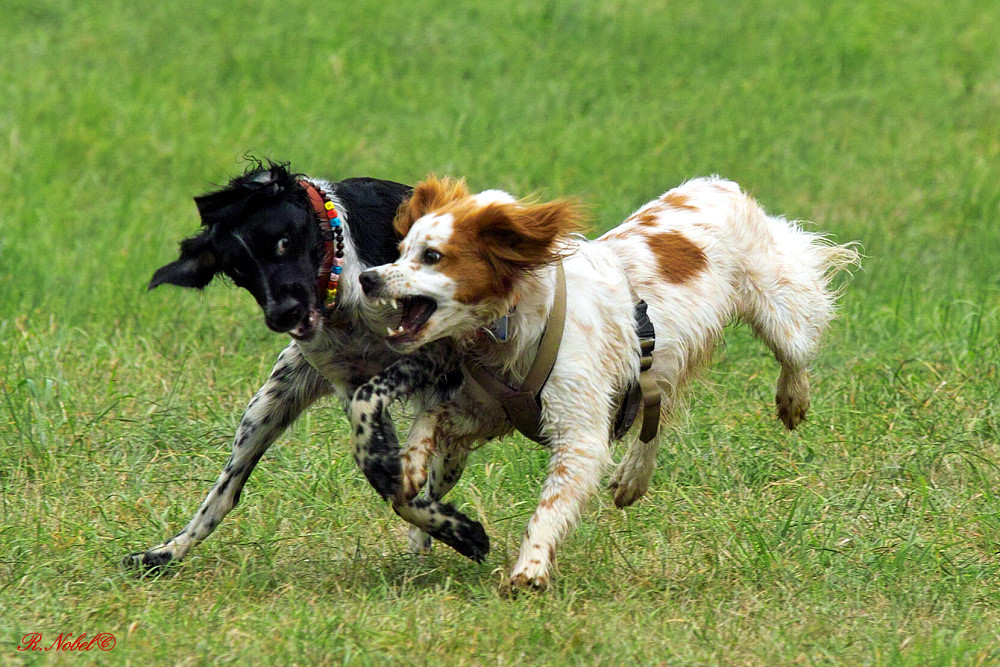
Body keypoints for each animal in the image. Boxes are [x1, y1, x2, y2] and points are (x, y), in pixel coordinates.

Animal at [125, 159, 492, 572]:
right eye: (238, 270)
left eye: (283, 243)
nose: (282, 314)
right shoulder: (350, 383)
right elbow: (382, 470)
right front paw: (457, 528)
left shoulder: (438, 356)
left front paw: (459, 530)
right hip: (265, 407)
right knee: (224, 493)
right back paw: (168, 550)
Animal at [356, 176, 856, 588]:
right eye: (400, 251)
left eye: (432, 256)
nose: (366, 277)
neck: (518, 318)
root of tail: (718, 185)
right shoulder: (486, 412)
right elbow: (428, 422)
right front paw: (410, 467)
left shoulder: (578, 435)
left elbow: (550, 507)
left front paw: (529, 569)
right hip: (661, 366)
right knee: (658, 415)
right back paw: (634, 476)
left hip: (778, 312)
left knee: (795, 353)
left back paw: (792, 399)